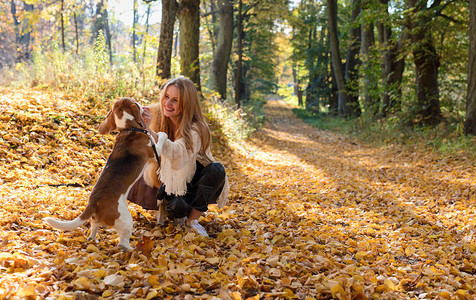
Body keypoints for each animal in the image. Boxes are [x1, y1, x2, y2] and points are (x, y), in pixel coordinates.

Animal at [42, 97, 168, 250]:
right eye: (134, 101)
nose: (143, 105)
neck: (128, 127)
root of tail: (93, 203)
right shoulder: (154, 152)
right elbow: (160, 140)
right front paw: (163, 134)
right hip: (126, 220)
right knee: (122, 243)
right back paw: (133, 250)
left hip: (96, 220)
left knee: (93, 229)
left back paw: (93, 239)